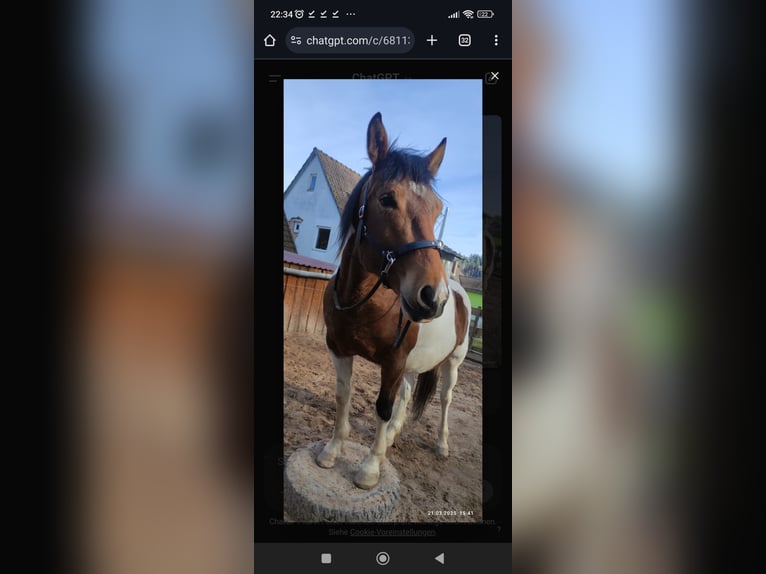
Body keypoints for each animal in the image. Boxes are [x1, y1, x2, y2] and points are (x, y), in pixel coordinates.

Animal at [316, 112, 471, 490]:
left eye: (437, 209)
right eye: (387, 199)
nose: (433, 297)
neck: (362, 303)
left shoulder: (394, 362)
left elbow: (383, 408)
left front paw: (370, 468)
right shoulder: (339, 349)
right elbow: (343, 396)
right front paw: (332, 451)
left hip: (453, 363)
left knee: (444, 398)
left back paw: (441, 444)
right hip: (415, 364)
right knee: (408, 394)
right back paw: (390, 439)